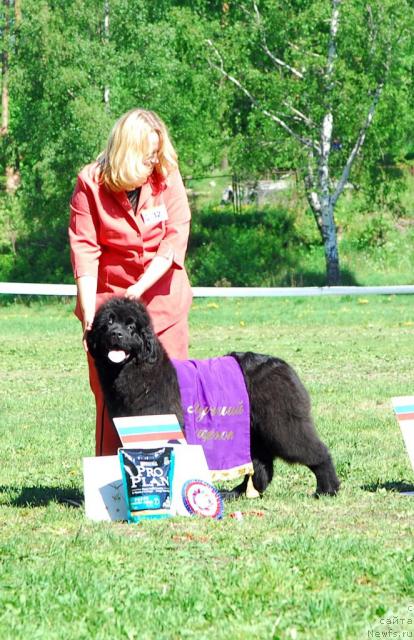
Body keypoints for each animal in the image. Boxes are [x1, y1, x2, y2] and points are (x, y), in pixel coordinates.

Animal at [88, 296, 340, 500]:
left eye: (131, 325)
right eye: (108, 323)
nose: (116, 334)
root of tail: (283, 366)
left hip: (281, 425)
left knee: (315, 452)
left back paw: (327, 489)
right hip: (253, 431)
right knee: (261, 467)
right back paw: (239, 493)